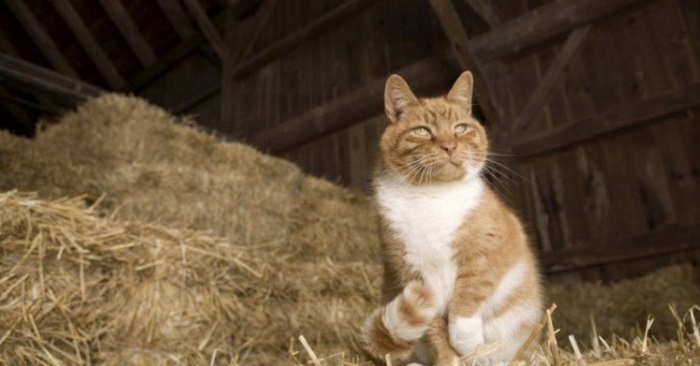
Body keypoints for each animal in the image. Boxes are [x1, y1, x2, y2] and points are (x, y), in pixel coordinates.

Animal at [360, 72, 548, 366]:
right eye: (423, 131)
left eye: (460, 128)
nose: (449, 146)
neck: (431, 197)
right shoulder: (413, 277)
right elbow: (436, 330)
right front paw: (453, 357)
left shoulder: (484, 254)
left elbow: (464, 307)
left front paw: (470, 346)